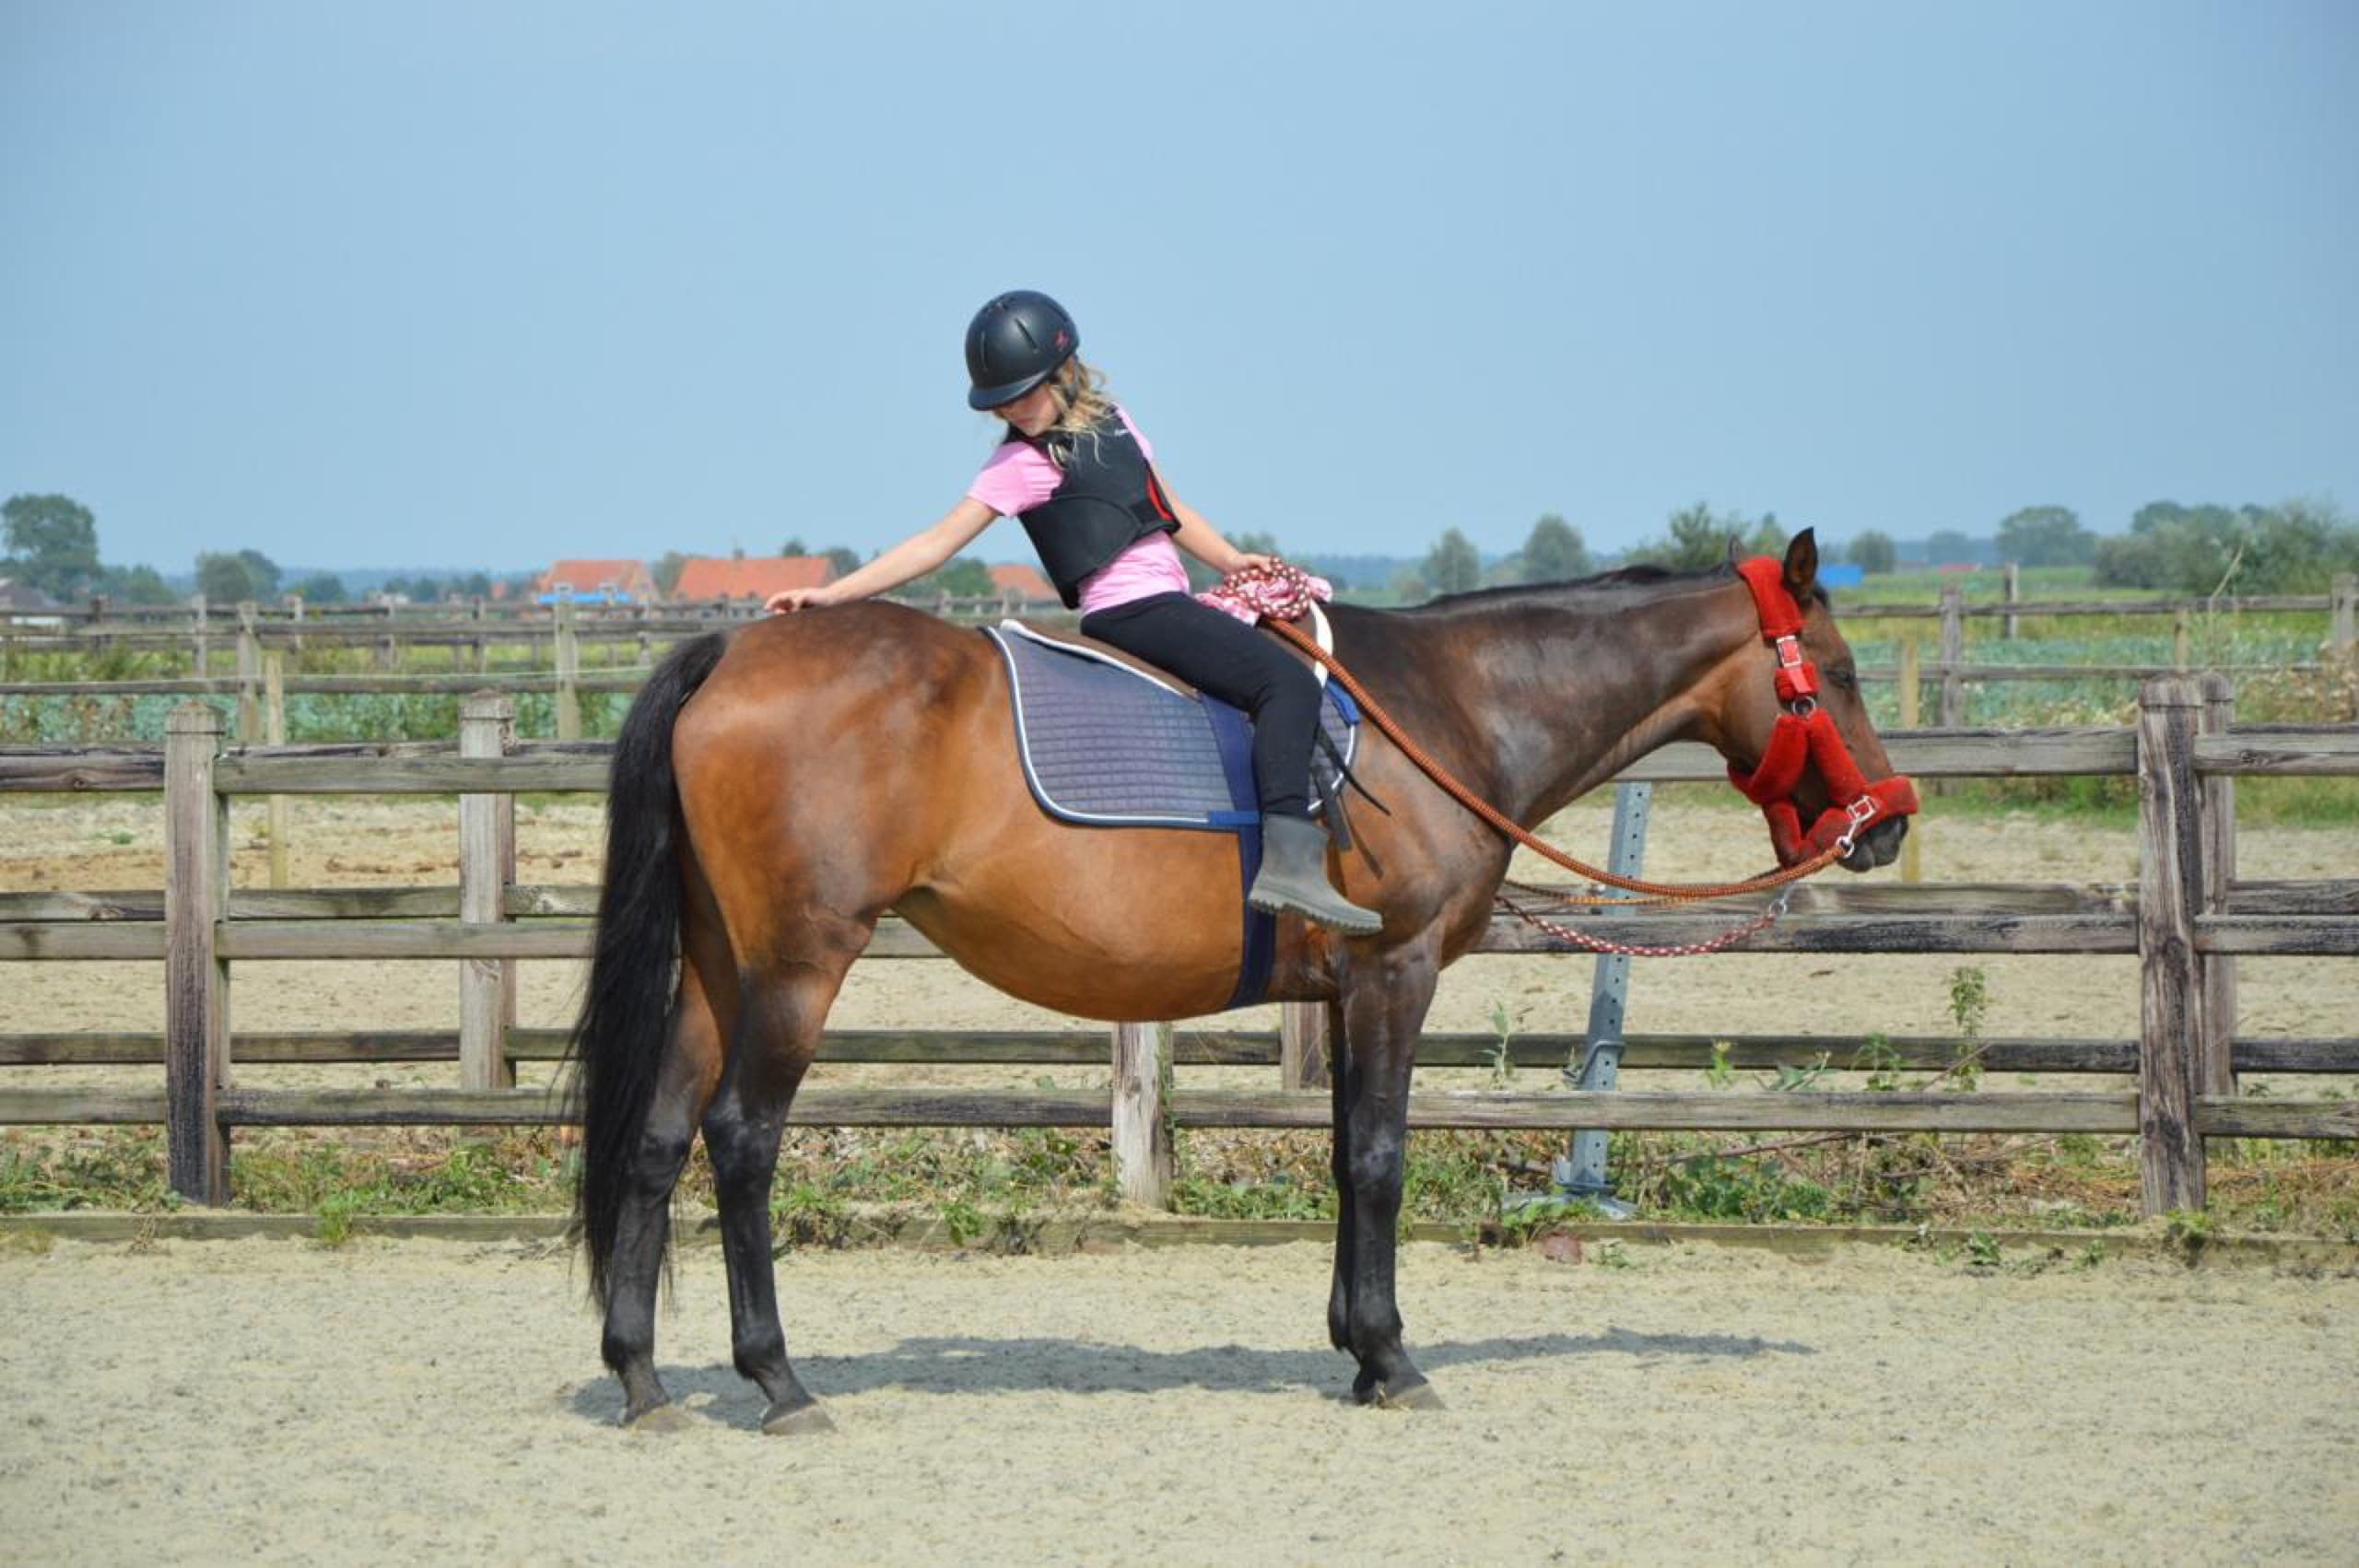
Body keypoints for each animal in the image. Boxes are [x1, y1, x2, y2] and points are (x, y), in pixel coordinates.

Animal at [568, 528, 1909, 1431]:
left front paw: (1356, 1347)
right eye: (1839, 672)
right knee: (741, 1141)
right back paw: (778, 1378)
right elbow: (1381, 1159)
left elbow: (1345, 1158)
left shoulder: (1352, 992)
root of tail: (732, 649)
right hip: (797, 967)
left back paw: (641, 1374)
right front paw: (1393, 1358)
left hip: (720, 966)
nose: (1888, 821)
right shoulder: (1395, 974)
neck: (1447, 708)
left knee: (657, 1136)